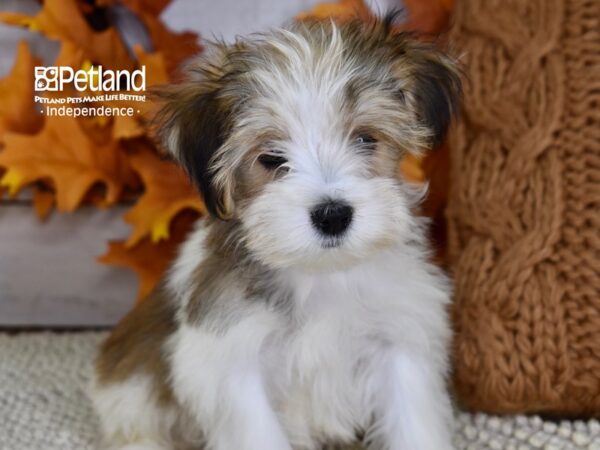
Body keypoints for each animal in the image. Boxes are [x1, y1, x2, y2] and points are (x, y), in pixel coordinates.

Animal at [92, 14, 460, 450]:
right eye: (271, 157)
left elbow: (411, 423)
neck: (321, 274)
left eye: (366, 139)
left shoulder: (398, 340)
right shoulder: (234, 364)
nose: (333, 215)